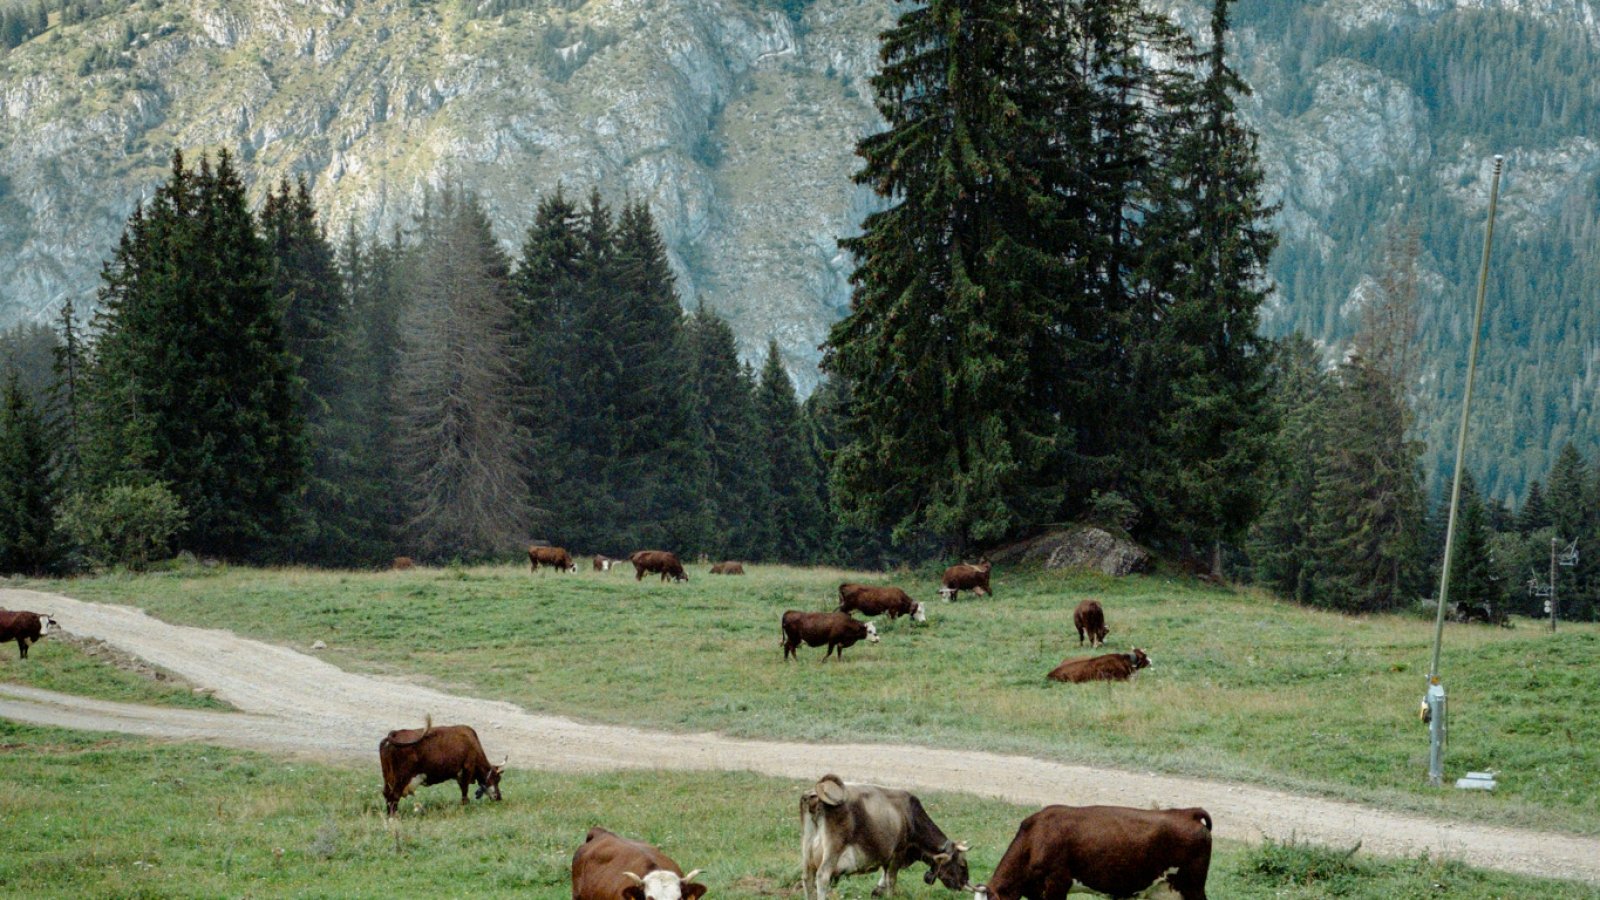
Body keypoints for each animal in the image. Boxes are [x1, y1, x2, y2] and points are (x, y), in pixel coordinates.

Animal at [800, 771, 972, 896]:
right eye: (962, 864)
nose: (963, 884)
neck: (911, 817)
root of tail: (817, 792)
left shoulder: (886, 857)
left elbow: (881, 883)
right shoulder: (897, 853)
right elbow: (891, 881)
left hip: (807, 850)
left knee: (807, 878)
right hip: (834, 847)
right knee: (822, 877)